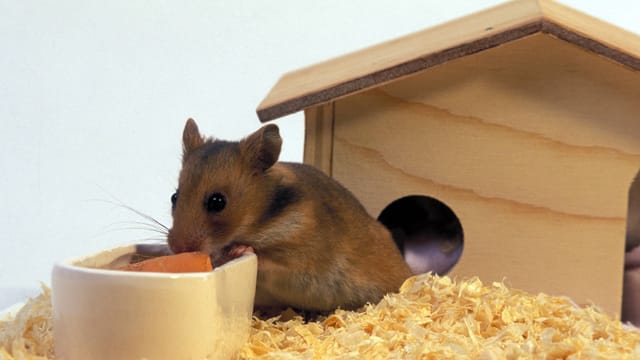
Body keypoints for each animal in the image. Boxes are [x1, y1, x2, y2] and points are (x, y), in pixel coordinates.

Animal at [168, 119, 412, 312]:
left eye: (217, 202)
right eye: (174, 197)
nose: (178, 249)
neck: (263, 221)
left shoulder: (299, 261)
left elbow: (266, 260)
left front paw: (238, 250)